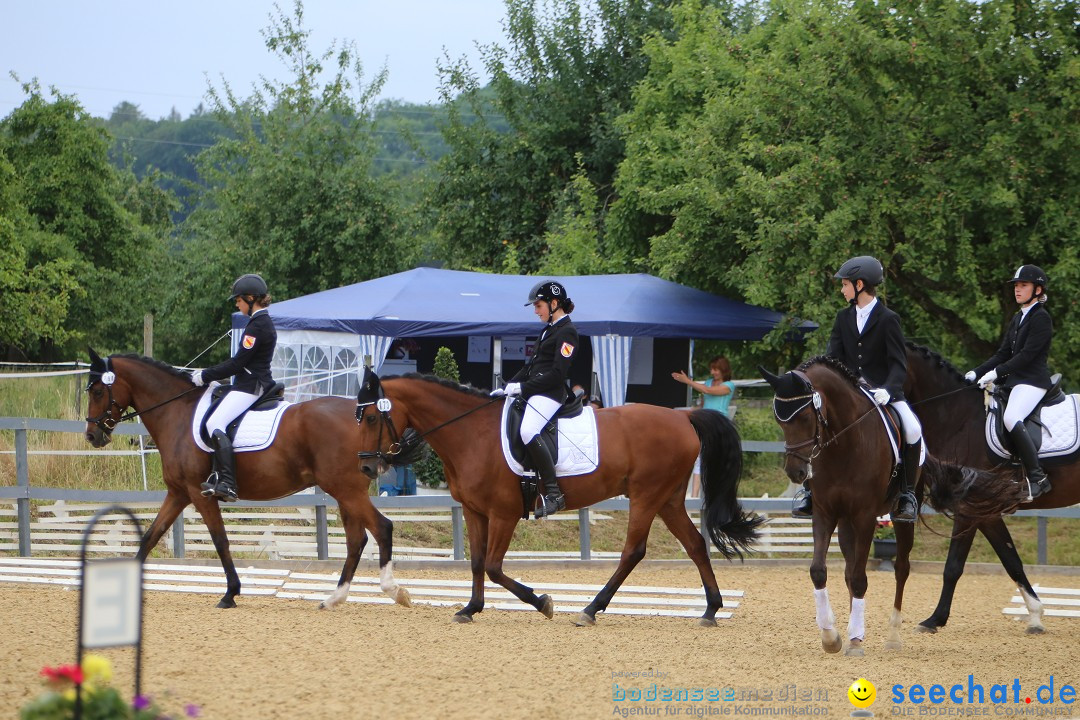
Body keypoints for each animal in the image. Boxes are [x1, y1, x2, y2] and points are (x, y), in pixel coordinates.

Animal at [82, 351, 410, 613]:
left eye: (97, 391)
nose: (92, 436)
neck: (177, 412)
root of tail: (363, 417)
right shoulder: (178, 493)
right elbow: (151, 536)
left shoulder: (200, 494)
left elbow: (220, 541)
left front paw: (230, 594)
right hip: (345, 492)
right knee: (357, 539)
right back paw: (335, 599)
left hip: (345, 490)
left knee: (381, 528)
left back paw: (394, 592)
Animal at [352, 371, 760, 626]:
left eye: (371, 418)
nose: (368, 468)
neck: (472, 433)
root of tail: (684, 416)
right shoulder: (474, 511)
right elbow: (478, 563)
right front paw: (470, 608)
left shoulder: (504, 513)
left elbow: (494, 567)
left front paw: (543, 602)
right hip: (668, 500)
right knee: (694, 545)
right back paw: (711, 610)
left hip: (646, 496)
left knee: (633, 551)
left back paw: (591, 609)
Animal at [760, 358, 1028, 656]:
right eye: (779, 420)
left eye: (806, 418)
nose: (795, 472)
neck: (843, 442)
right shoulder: (825, 513)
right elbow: (820, 571)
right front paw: (831, 637)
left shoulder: (865, 516)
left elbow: (860, 577)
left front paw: (855, 641)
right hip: (845, 520)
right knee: (850, 570)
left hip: (899, 517)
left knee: (900, 569)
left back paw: (892, 636)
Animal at [902, 343, 1080, 630]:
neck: (958, 418)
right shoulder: (986, 513)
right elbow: (1011, 561)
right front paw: (1035, 614)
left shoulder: (968, 509)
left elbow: (952, 567)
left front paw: (935, 619)